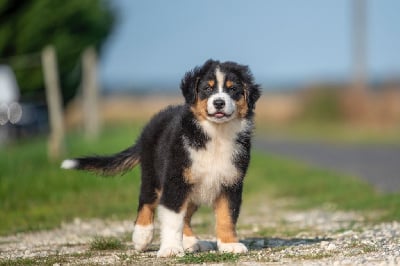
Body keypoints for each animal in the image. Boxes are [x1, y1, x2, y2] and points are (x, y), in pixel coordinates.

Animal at [61, 59, 260, 256]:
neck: (216, 134)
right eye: (207, 88)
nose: (219, 102)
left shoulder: (231, 182)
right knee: (147, 202)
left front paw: (229, 244)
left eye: (233, 89)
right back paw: (142, 236)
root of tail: (145, 133)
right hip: (153, 174)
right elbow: (172, 218)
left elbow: (227, 216)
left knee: (185, 215)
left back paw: (191, 242)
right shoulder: (175, 179)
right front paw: (171, 248)